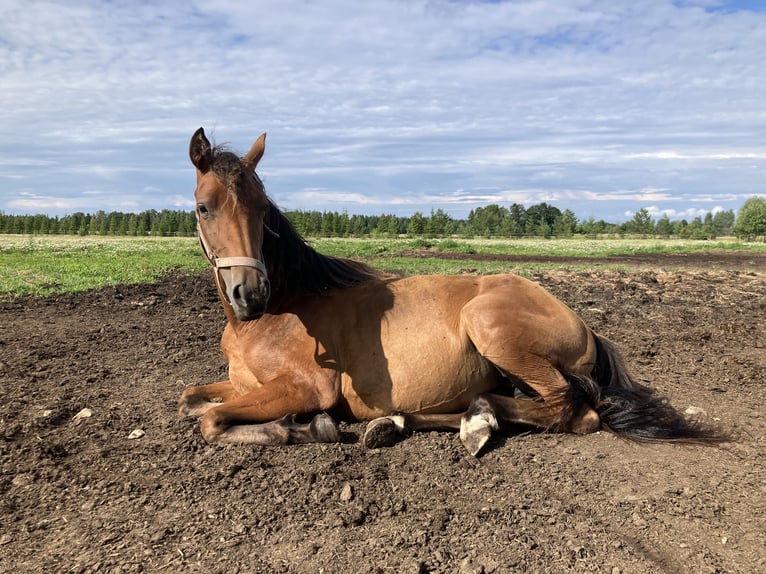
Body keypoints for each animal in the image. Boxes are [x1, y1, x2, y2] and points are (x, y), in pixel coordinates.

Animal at [178, 128, 728, 456]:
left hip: (490, 326)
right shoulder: (247, 385)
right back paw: (403, 422)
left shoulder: (310, 388)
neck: (283, 312)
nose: (250, 294)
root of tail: (583, 323)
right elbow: (192, 400)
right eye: (204, 207)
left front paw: (310, 427)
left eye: (263, 210)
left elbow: (212, 421)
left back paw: (477, 421)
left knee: (571, 410)